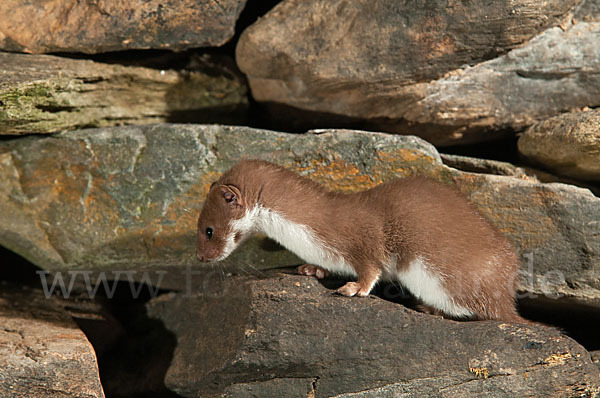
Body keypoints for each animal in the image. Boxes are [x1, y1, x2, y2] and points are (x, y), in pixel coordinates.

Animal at [198, 159, 528, 324]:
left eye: (208, 230)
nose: (200, 258)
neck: (306, 235)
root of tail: (505, 294)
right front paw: (312, 269)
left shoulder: (364, 238)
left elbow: (371, 268)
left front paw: (354, 288)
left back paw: (431, 308)